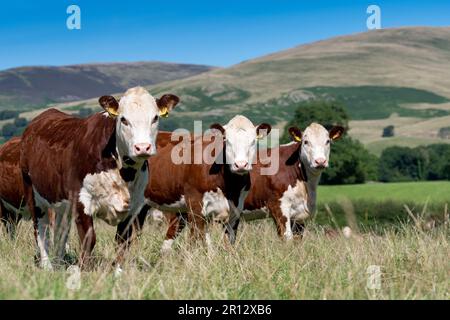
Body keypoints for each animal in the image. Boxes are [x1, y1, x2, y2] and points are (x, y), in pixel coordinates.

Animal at [18, 86, 179, 268]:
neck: (125, 174)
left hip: (61, 204)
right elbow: (89, 239)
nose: (143, 147)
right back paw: (47, 267)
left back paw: (58, 263)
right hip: (32, 194)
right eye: (123, 119)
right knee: (41, 232)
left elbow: (123, 243)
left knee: (60, 233)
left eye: (155, 118)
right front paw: (83, 271)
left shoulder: (134, 207)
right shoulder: (82, 201)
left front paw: (118, 272)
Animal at [114, 115, 272, 258]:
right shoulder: (196, 206)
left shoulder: (235, 211)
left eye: (253, 142)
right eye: (227, 141)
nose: (241, 165)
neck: (230, 187)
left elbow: (228, 243)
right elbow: (200, 242)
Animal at [163, 123, 344, 242]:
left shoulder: (300, 215)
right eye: (306, 142)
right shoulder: (278, 207)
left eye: (328, 141)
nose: (320, 161)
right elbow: (287, 239)